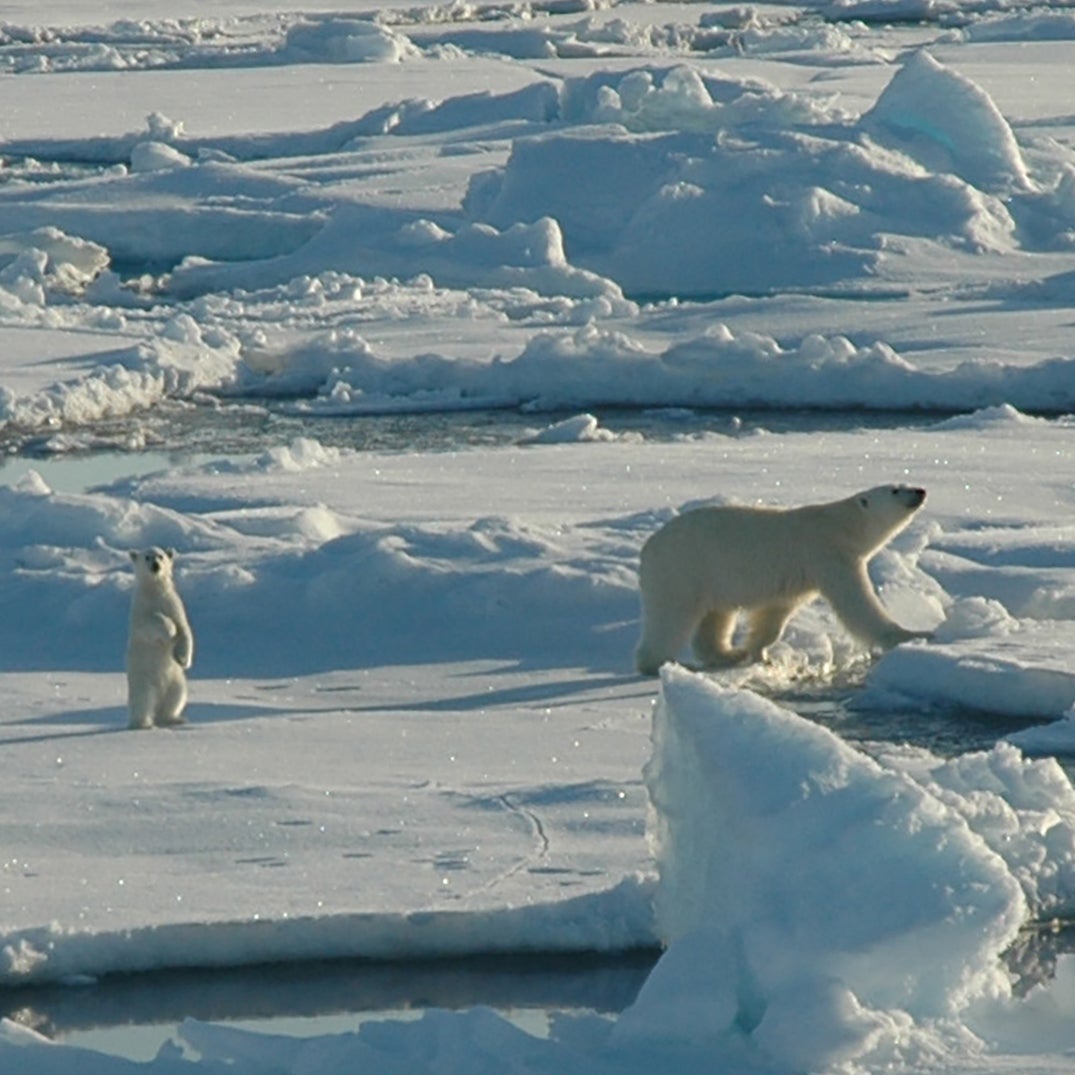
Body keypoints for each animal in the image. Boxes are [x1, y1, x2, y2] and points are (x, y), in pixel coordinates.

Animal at [632, 485, 928, 675]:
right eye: (895, 490)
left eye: (903, 483)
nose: (920, 491)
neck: (842, 524)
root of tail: (648, 547)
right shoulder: (828, 554)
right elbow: (857, 604)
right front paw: (911, 635)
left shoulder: (797, 578)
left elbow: (774, 614)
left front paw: (757, 651)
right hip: (682, 569)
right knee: (671, 616)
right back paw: (661, 664)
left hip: (711, 578)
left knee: (715, 617)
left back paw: (729, 654)